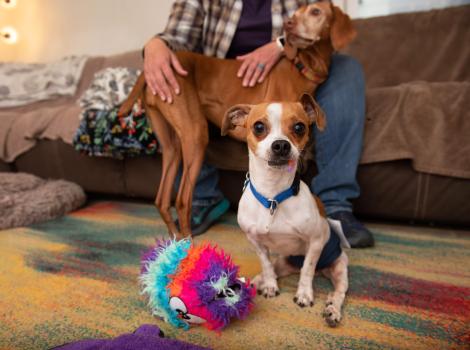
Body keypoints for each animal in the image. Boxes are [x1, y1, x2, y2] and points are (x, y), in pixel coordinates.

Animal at [118, 0, 356, 239]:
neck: (303, 67)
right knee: (183, 200)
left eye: (315, 11)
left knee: (162, 200)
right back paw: (188, 241)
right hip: (196, 135)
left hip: (173, 147)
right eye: (295, 13)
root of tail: (152, 68)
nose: (288, 25)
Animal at [222, 94, 350, 326]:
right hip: (283, 261)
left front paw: (304, 294)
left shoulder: (316, 242)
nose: (281, 145)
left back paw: (332, 310)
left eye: (299, 127)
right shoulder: (255, 242)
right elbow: (266, 265)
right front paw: (270, 285)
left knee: (338, 293)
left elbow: (307, 270)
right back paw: (255, 282)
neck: (273, 196)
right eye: (259, 126)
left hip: (340, 267)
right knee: (273, 269)